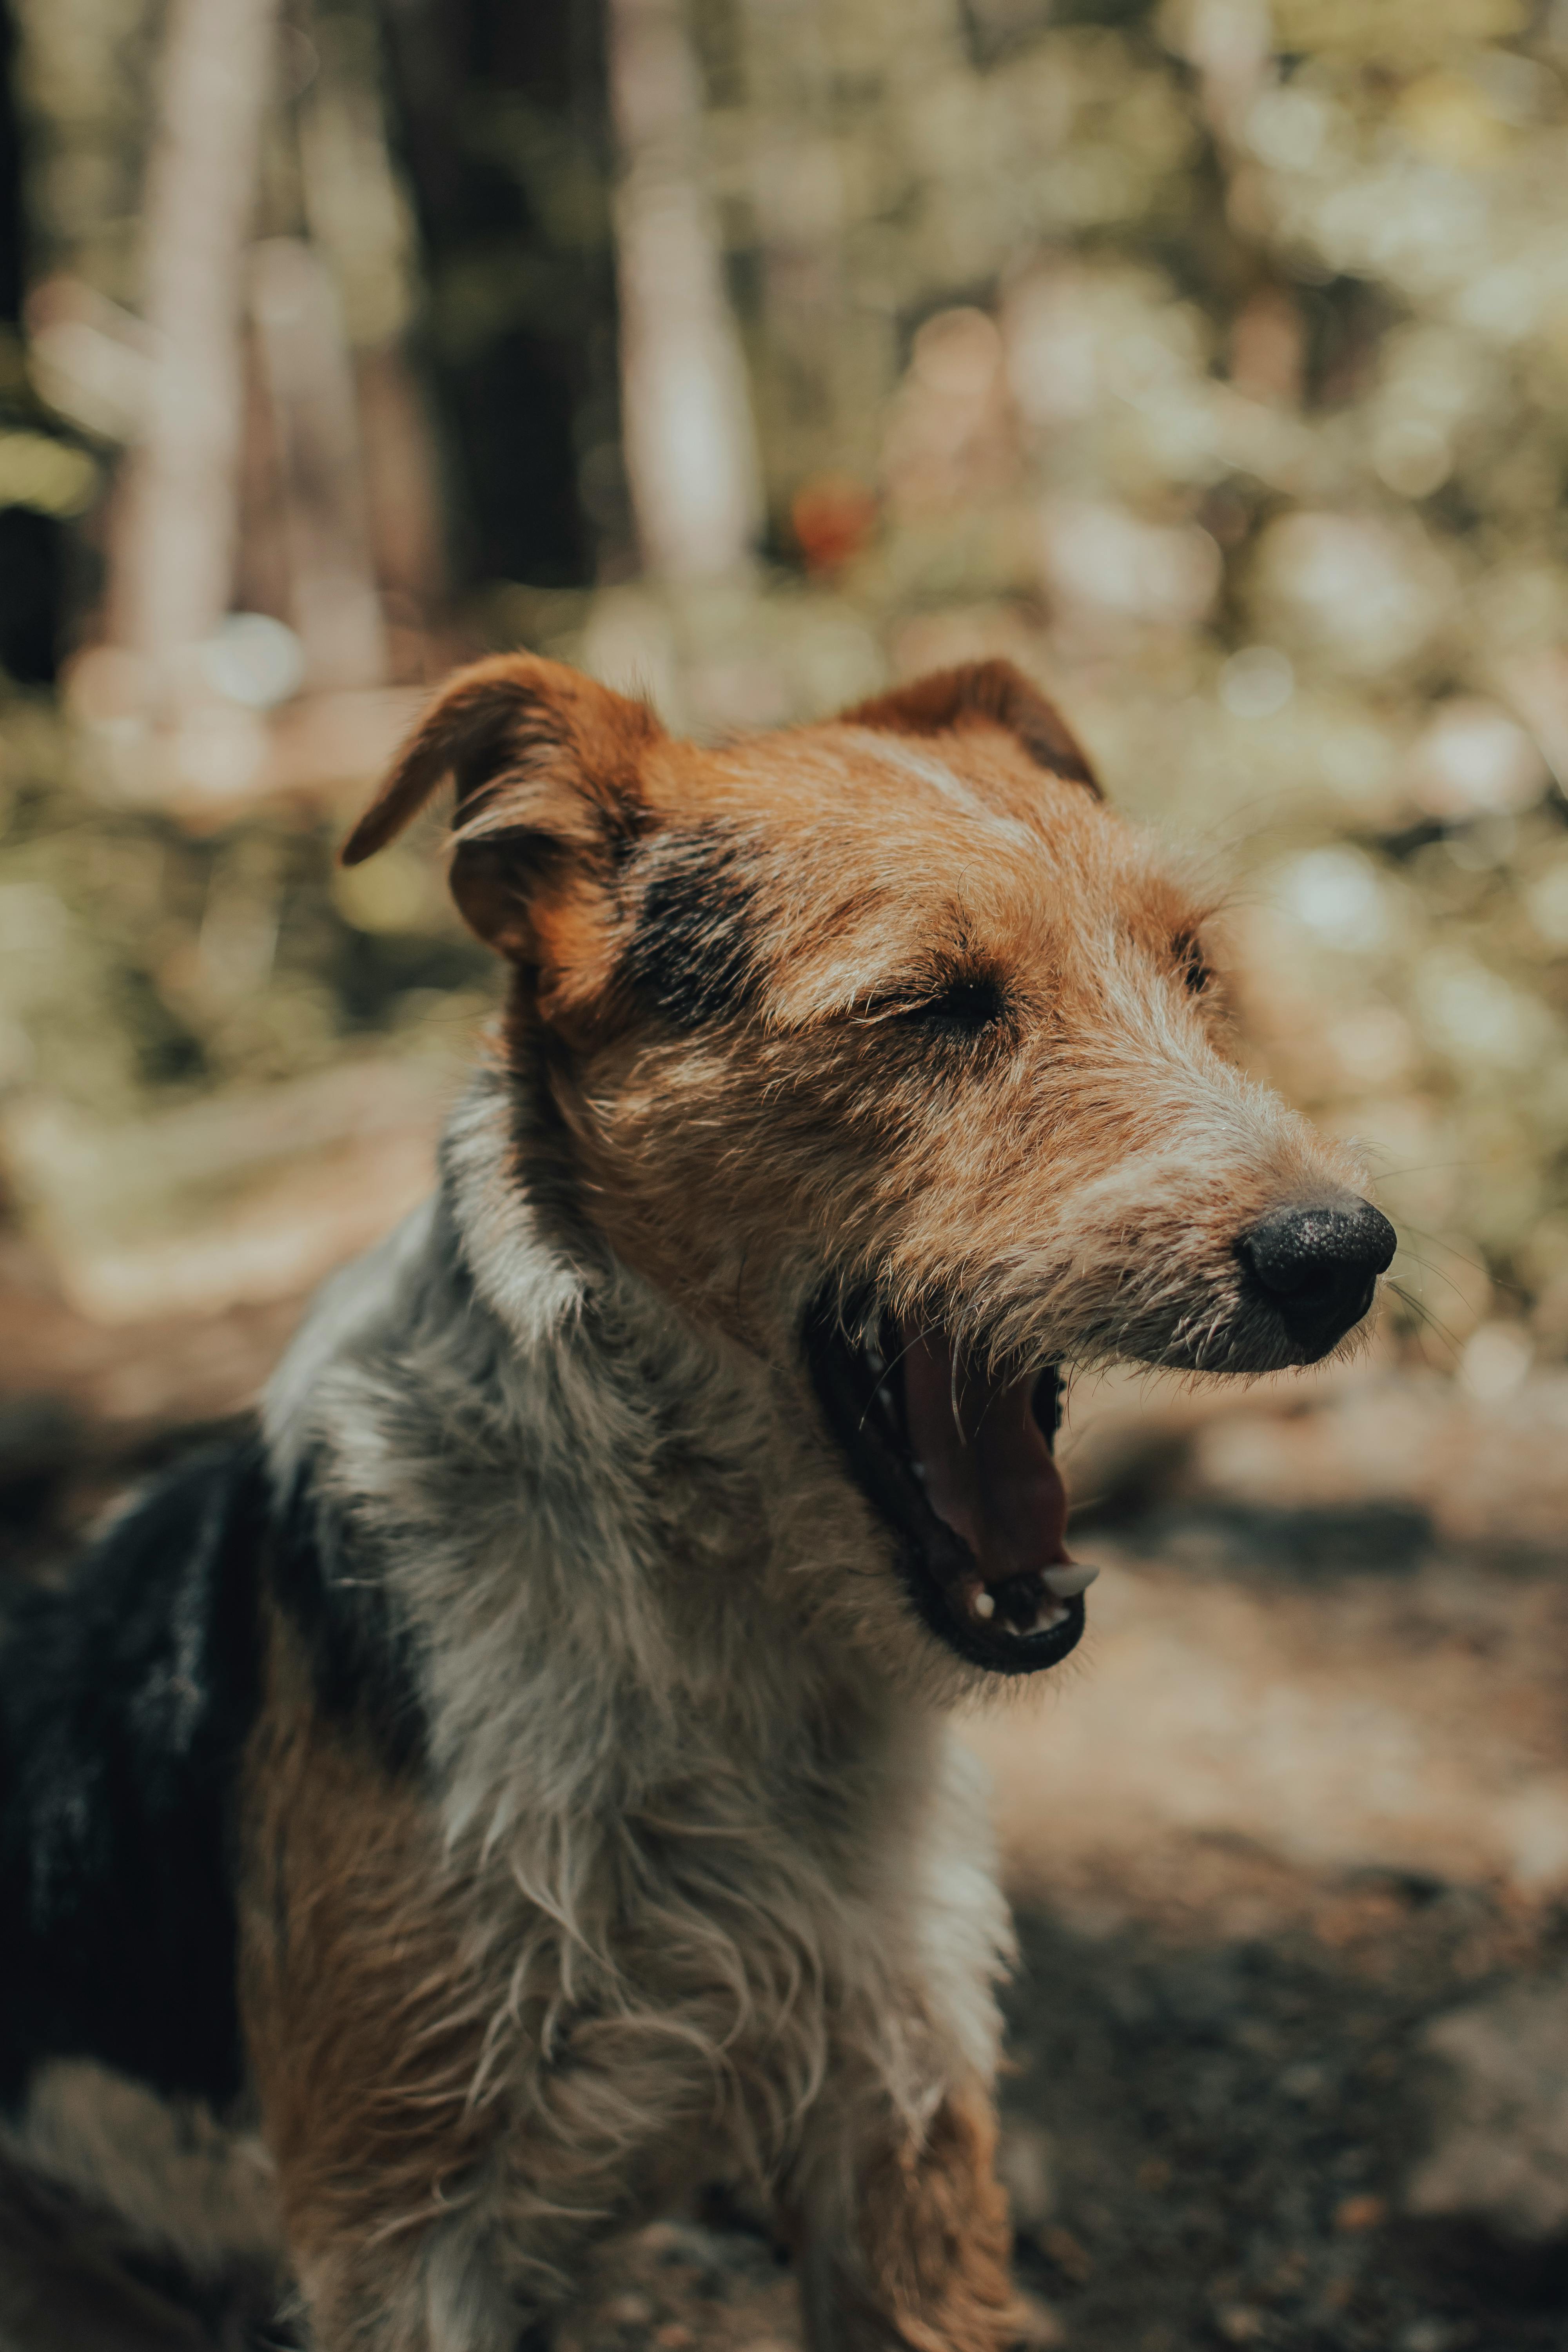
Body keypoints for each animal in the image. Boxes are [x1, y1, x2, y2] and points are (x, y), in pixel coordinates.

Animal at [0, 663, 1401, 2352]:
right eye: (930, 1005)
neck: (717, 1633)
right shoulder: (398, 2226)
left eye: (1192, 970)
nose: (1345, 1254)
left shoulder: (902, 2110)